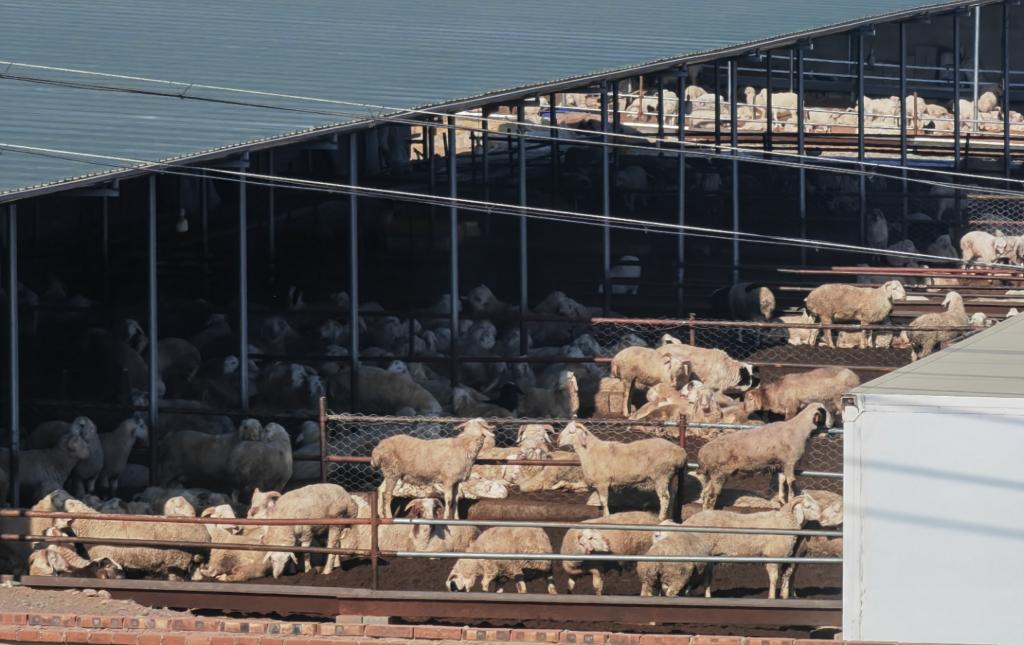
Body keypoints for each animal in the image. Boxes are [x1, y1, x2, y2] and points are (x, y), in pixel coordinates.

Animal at [557, 421, 686, 520]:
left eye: (571, 432)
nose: (557, 440)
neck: (589, 451)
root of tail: (680, 452)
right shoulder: (594, 482)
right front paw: (563, 486)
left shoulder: (602, 482)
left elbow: (604, 501)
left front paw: (606, 517)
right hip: (672, 475)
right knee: (672, 496)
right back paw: (669, 517)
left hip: (661, 475)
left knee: (665, 498)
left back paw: (661, 518)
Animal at [684, 494, 821, 599]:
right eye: (808, 506)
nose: (822, 516)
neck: (784, 521)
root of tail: (687, 521)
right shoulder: (772, 556)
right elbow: (774, 578)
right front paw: (771, 598)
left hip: (709, 558)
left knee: (706, 578)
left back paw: (706, 597)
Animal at [694, 403, 832, 510]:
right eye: (824, 412)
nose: (832, 424)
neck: (799, 430)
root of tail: (701, 453)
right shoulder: (790, 462)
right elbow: (791, 482)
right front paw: (792, 500)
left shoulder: (781, 464)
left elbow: (782, 481)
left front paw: (783, 501)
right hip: (719, 473)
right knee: (711, 495)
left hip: (713, 474)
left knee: (705, 493)